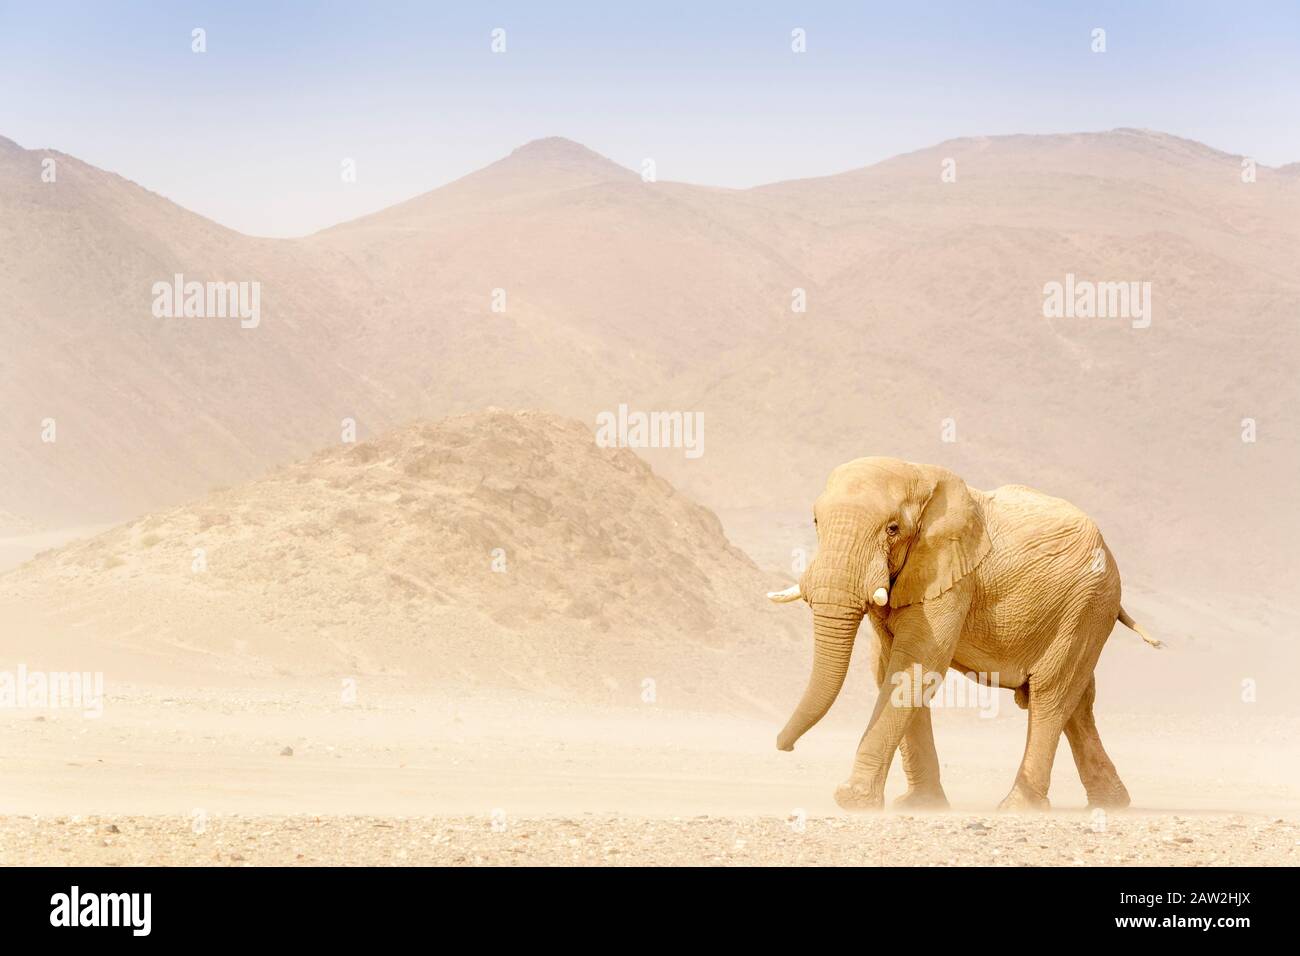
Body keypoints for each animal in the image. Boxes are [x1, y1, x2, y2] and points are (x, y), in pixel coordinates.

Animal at [767, 457, 1160, 811]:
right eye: (815, 521)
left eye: (893, 529)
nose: (784, 746)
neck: (921, 478)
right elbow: (889, 667)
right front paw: (920, 806)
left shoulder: (952, 574)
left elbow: (917, 664)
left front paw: (852, 801)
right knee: (1077, 699)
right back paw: (1113, 805)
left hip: (1089, 603)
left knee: (1051, 695)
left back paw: (1018, 808)